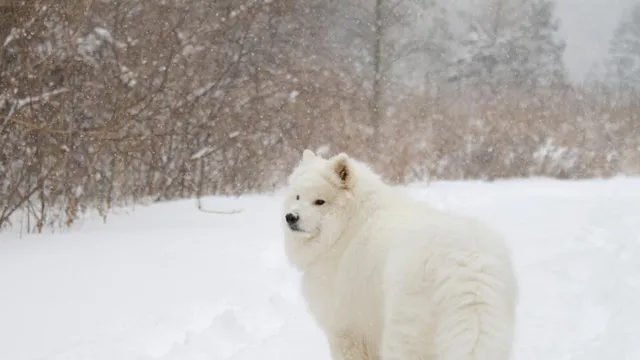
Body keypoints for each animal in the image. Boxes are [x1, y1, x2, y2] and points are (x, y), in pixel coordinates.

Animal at [282, 149, 516, 360]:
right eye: (298, 196)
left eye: (319, 201)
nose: (291, 217)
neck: (348, 227)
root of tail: (465, 265)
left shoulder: (346, 331)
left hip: (402, 334)